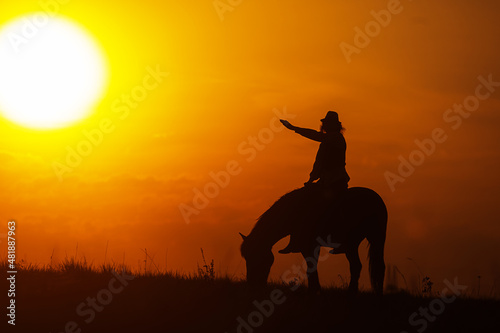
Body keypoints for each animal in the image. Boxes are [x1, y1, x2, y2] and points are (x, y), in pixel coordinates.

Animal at [240, 185, 388, 294]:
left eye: (257, 257)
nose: (252, 284)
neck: (294, 212)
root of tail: (378, 200)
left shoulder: (309, 246)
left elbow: (311, 267)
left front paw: (314, 289)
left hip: (361, 242)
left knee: (360, 265)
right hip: (363, 242)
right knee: (366, 265)